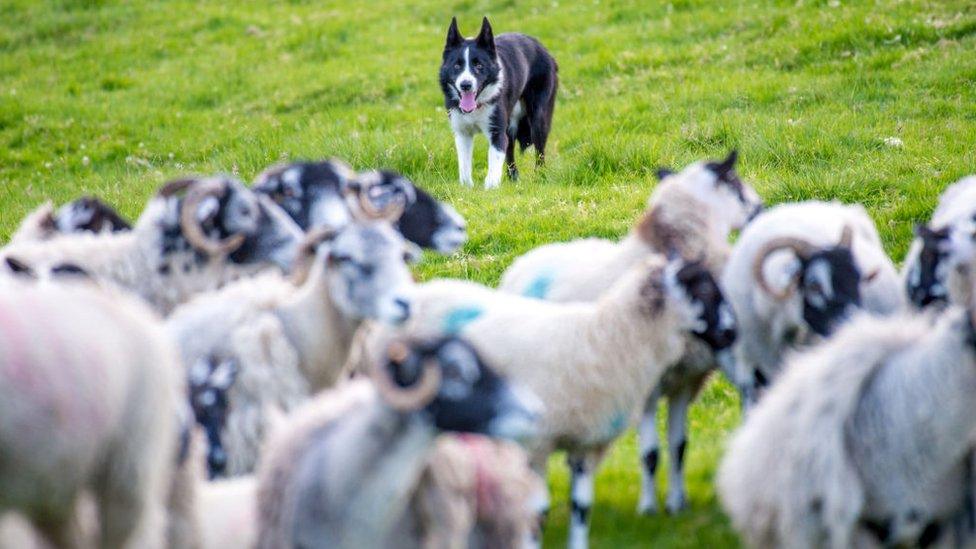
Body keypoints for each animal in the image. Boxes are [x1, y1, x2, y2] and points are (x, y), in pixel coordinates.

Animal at [440, 17, 556, 188]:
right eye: (456, 65)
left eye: (479, 65)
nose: (465, 85)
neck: (477, 107)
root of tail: (542, 48)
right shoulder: (463, 133)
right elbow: (464, 166)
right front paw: (467, 187)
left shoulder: (496, 132)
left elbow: (495, 159)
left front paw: (491, 187)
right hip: (511, 123)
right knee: (510, 150)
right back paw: (514, 178)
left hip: (538, 120)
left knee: (539, 152)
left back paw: (540, 177)